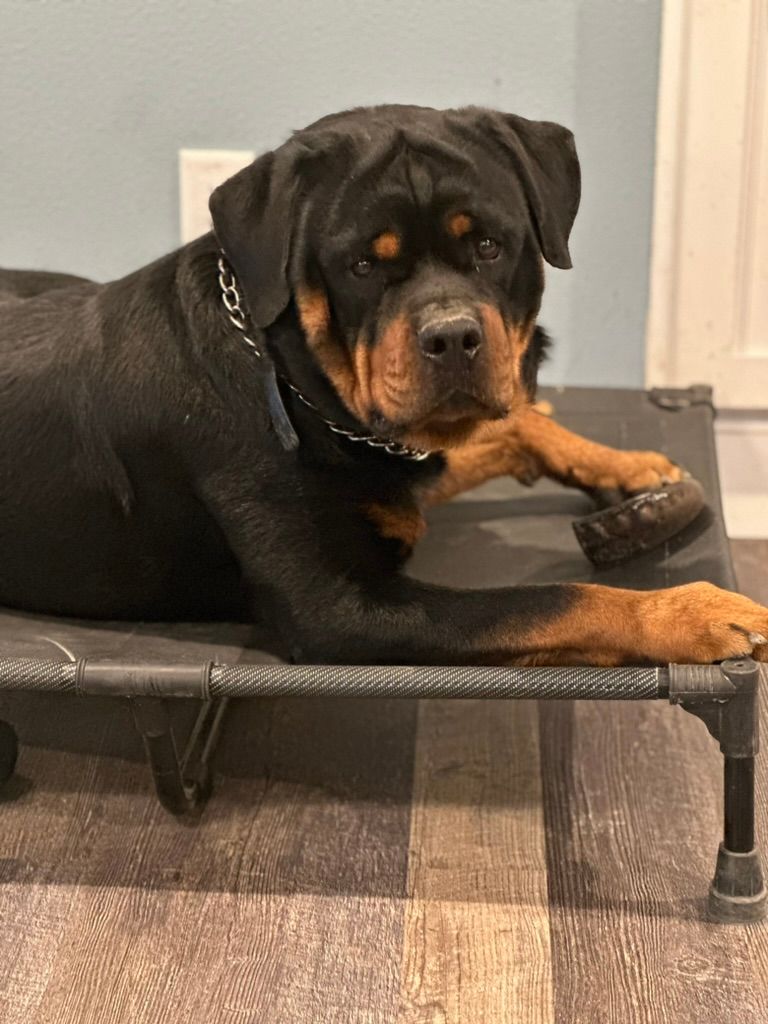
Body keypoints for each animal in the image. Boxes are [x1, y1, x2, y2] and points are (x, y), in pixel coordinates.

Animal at [1, 104, 766, 666]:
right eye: (363, 266)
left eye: (489, 245)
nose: (452, 336)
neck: (298, 390)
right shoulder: (342, 609)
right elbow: (555, 599)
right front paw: (696, 610)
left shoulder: (403, 464)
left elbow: (512, 427)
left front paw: (629, 467)